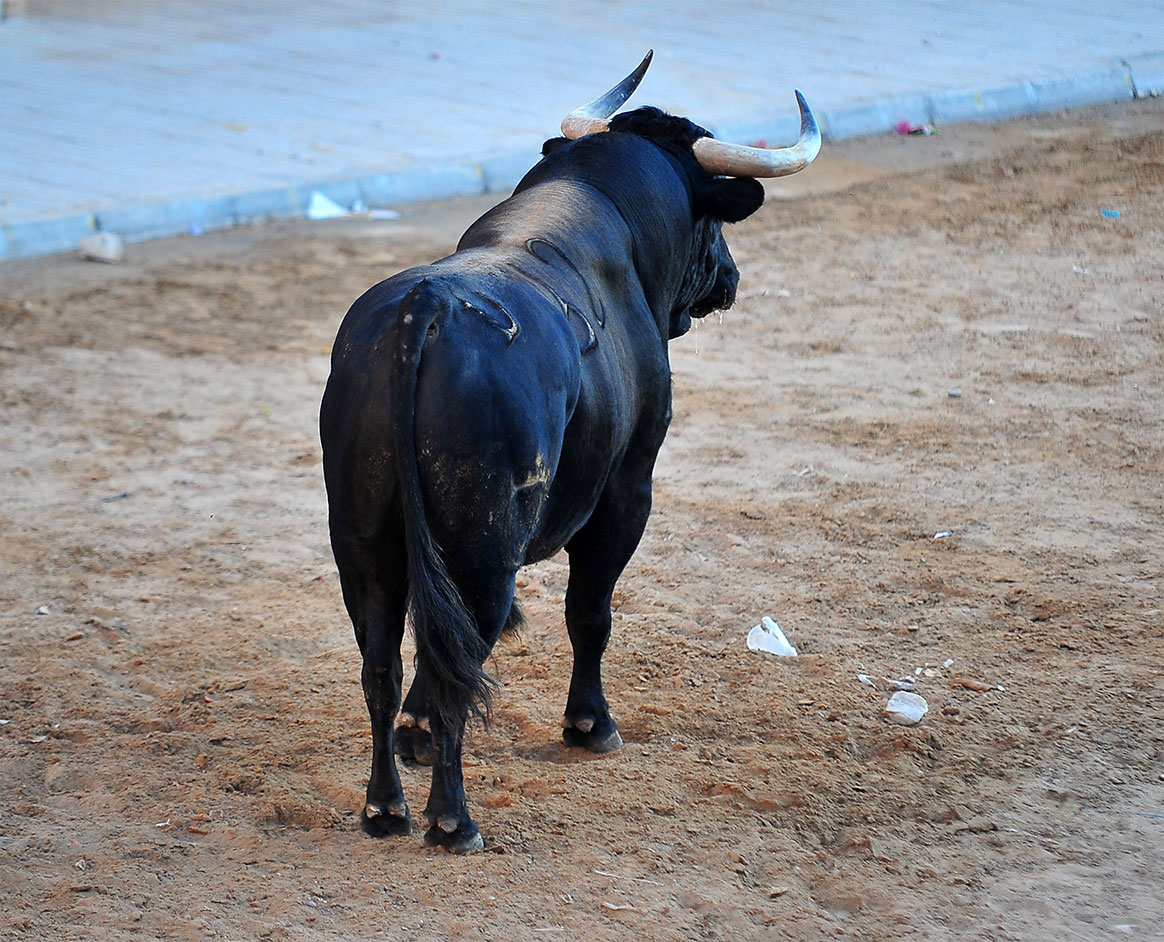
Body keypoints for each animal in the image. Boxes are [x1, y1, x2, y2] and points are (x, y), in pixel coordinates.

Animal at [318, 80, 819, 847]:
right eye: (711, 218)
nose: (730, 279)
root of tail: (421, 313)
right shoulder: (628, 489)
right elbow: (591, 609)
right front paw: (591, 724)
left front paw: (416, 734)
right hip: (481, 546)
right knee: (457, 657)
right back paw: (452, 821)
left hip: (363, 543)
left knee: (384, 661)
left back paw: (385, 808)